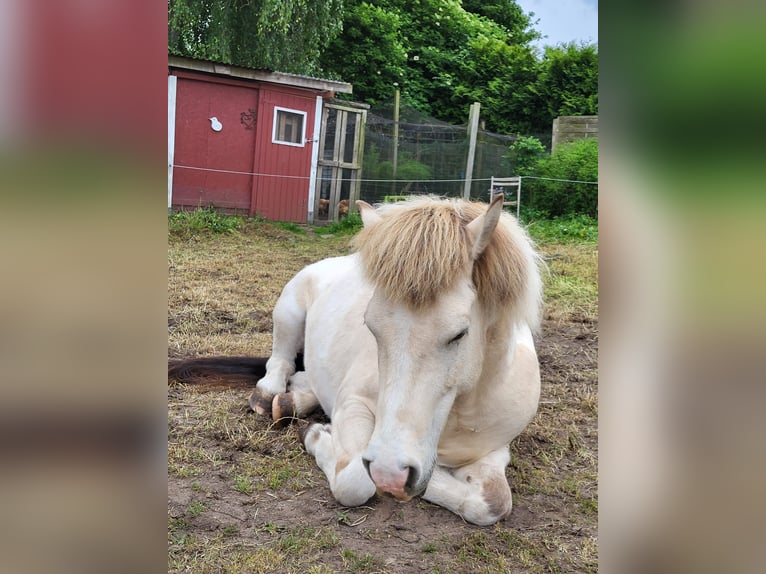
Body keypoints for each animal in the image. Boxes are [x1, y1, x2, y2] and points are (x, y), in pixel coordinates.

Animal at [244, 195, 543, 525]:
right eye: (372, 327)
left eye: (460, 333)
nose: (390, 473)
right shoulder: (355, 405)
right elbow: (356, 481)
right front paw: (316, 435)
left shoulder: (493, 449)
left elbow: (493, 502)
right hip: (288, 312)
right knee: (280, 361)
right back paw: (270, 396)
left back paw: (292, 401)